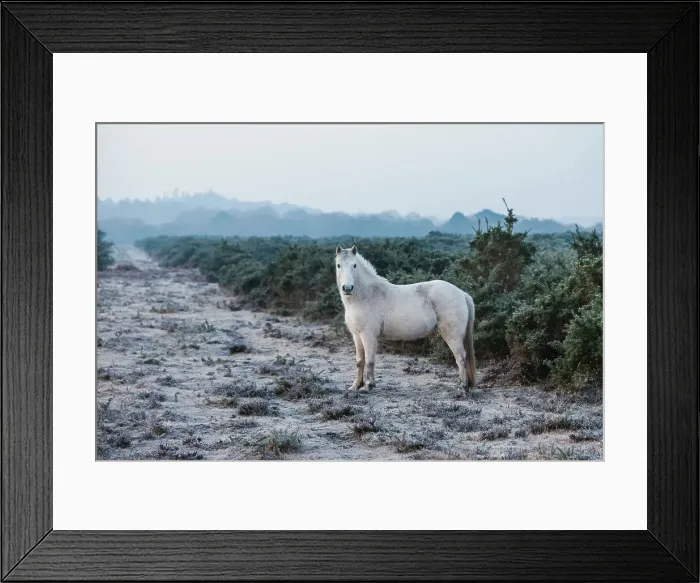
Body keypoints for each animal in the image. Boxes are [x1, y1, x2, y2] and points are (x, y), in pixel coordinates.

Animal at [335, 245, 476, 392]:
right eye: (338, 265)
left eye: (354, 265)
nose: (347, 288)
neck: (365, 296)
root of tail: (462, 293)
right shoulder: (357, 336)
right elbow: (360, 361)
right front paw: (355, 386)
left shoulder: (369, 335)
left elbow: (369, 361)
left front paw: (368, 386)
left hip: (452, 335)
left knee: (461, 357)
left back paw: (462, 386)